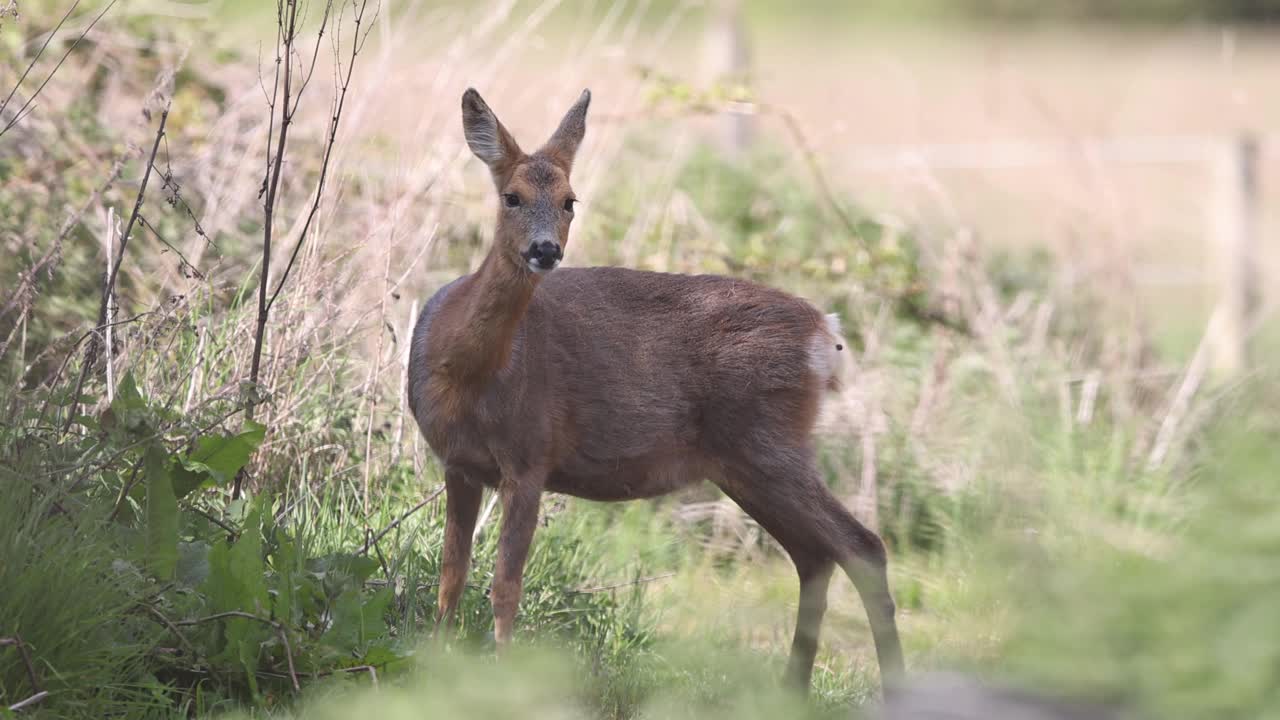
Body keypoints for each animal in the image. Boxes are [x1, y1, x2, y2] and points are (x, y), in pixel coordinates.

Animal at [404, 87, 906, 691]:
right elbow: (450, 576)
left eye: (571, 200)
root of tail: (824, 334)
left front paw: (504, 681)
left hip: (770, 443)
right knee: (814, 555)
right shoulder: (459, 463)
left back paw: (892, 690)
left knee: (862, 546)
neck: (467, 376)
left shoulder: (530, 457)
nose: (545, 251)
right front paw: (432, 669)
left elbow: (505, 585)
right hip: (746, 462)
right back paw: (792, 690)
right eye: (511, 197)